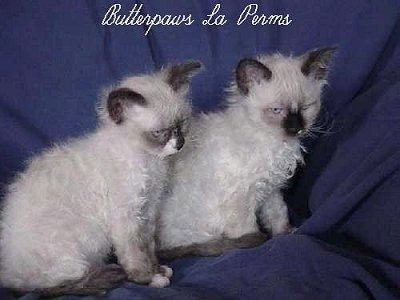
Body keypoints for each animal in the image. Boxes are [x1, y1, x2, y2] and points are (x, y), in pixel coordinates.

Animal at [0, 60, 202, 296]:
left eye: (182, 124)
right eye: (159, 133)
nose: (180, 144)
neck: (150, 162)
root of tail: (6, 275)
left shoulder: (148, 210)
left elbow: (148, 246)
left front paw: (157, 269)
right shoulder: (126, 216)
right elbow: (135, 254)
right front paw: (149, 279)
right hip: (74, 249)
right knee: (49, 287)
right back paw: (102, 280)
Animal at [156, 47, 334, 258]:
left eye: (306, 107)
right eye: (276, 110)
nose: (296, 128)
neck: (275, 143)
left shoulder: (270, 189)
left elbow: (278, 214)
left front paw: (285, 233)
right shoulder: (240, 200)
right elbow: (247, 230)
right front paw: (257, 245)